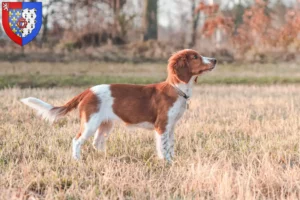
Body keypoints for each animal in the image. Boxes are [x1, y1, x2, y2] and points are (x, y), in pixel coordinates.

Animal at [21, 48, 217, 162]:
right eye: (195, 57)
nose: (215, 59)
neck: (177, 89)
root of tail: (87, 91)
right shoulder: (161, 126)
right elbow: (163, 148)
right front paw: (165, 163)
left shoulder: (171, 127)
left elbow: (170, 147)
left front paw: (172, 161)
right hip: (90, 123)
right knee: (76, 141)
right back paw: (77, 161)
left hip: (105, 124)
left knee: (97, 143)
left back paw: (106, 158)